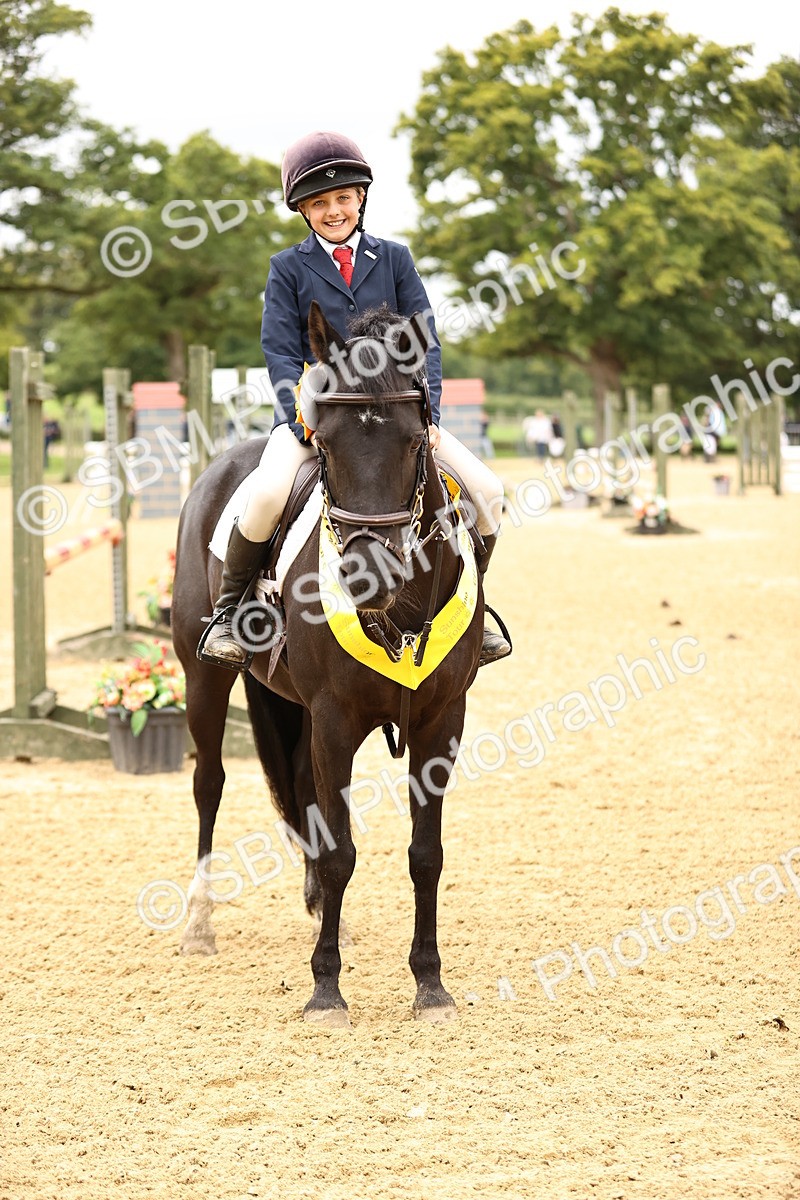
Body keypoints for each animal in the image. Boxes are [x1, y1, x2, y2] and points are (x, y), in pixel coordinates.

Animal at [171, 299, 484, 1028]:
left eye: (413, 441)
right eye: (330, 446)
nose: (369, 575)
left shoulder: (440, 720)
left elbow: (425, 855)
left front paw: (430, 985)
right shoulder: (336, 718)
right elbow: (342, 852)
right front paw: (326, 990)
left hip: (295, 707)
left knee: (299, 789)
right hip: (204, 679)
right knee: (210, 784)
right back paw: (200, 923)